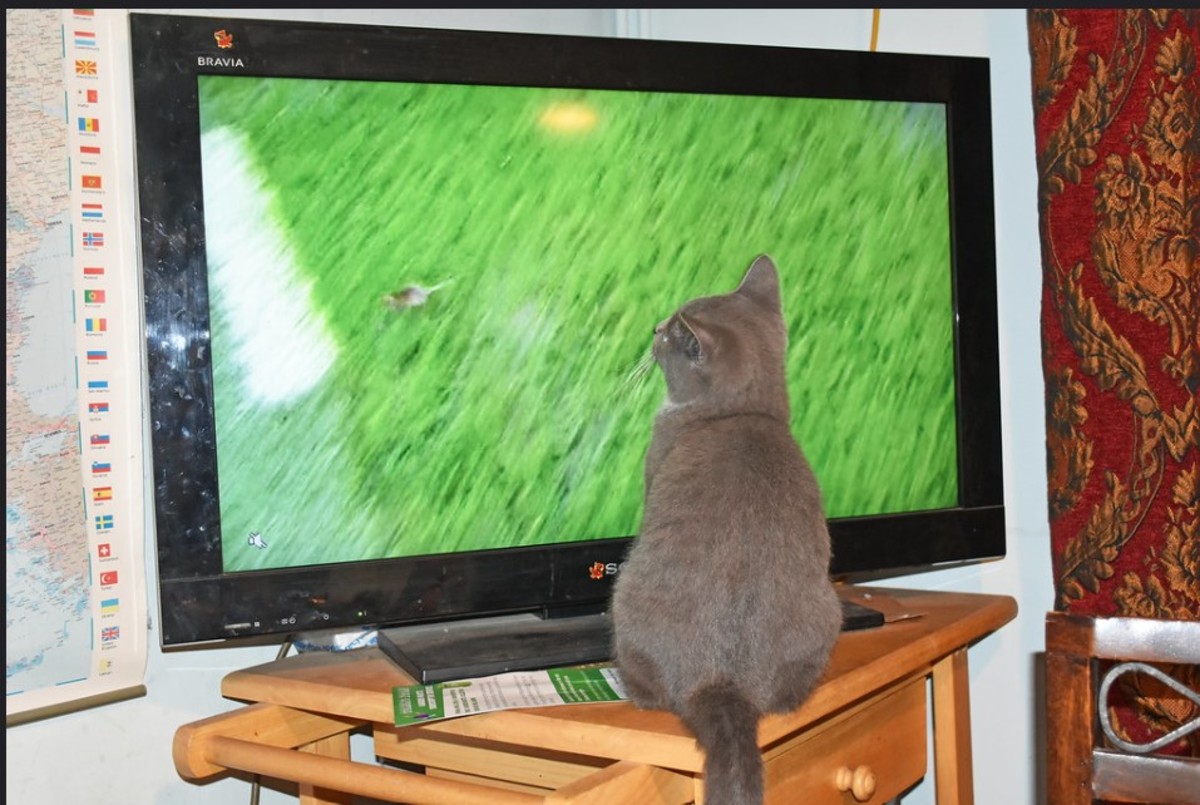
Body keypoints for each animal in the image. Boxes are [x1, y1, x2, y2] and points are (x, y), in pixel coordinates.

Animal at [611, 254, 842, 805]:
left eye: (670, 334)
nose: (654, 327)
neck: (744, 411)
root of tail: (722, 686)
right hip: (827, 613)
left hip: (623, 596)